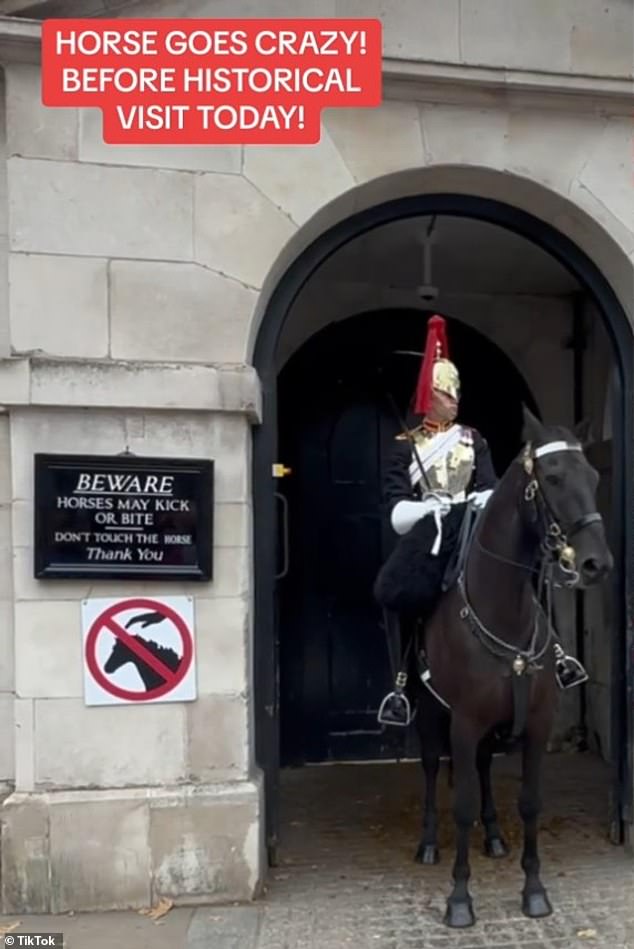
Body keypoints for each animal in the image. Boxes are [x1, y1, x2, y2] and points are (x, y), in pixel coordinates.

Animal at [400, 408, 612, 924]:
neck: (505, 614)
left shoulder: (534, 724)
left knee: (480, 768)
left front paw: (534, 889)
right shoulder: (462, 722)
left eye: (594, 475)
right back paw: (429, 843)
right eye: (553, 477)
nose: (596, 563)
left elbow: (530, 803)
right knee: (433, 769)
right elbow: (460, 803)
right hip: (431, 712)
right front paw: (459, 898)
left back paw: (494, 835)